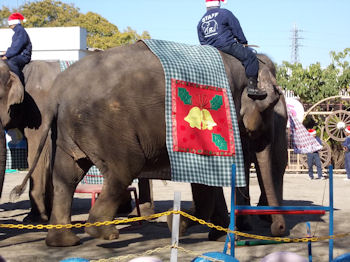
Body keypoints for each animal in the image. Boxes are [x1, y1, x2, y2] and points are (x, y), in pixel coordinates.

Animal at [4, 40, 288, 247]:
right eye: (272, 104)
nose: (279, 231)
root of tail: (59, 91)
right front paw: (176, 224)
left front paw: (211, 232)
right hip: (107, 127)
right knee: (123, 169)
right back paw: (104, 233)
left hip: (68, 130)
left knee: (67, 176)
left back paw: (63, 242)